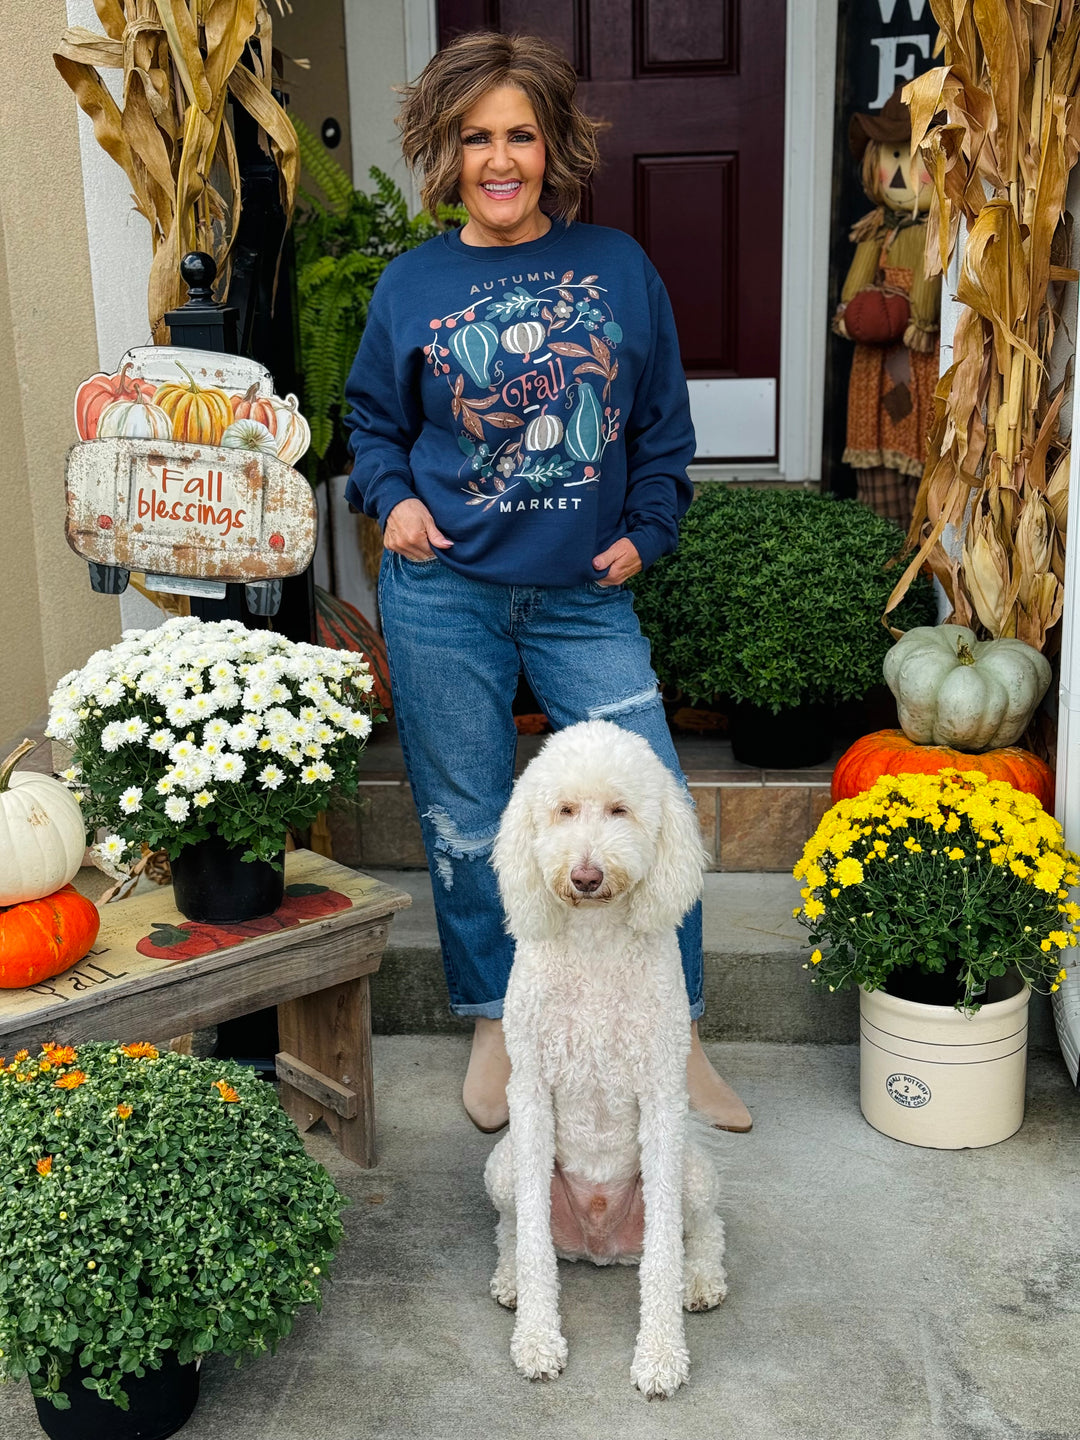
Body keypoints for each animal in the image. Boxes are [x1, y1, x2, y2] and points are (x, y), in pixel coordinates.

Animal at [489, 720, 728, 1393]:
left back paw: (701, 1279)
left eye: (620, 810)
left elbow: (665, 1254)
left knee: (704, 1229)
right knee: (510, 1228)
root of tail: (599, 1247)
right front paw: (538, 1340)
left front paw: (661, 1355)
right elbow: (533, 1242)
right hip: (503, 1167)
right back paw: (510, 1277)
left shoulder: (662, 1094)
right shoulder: (530, 1092)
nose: (587, 875)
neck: (595, 942)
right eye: (564, 811)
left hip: (694, 1170)